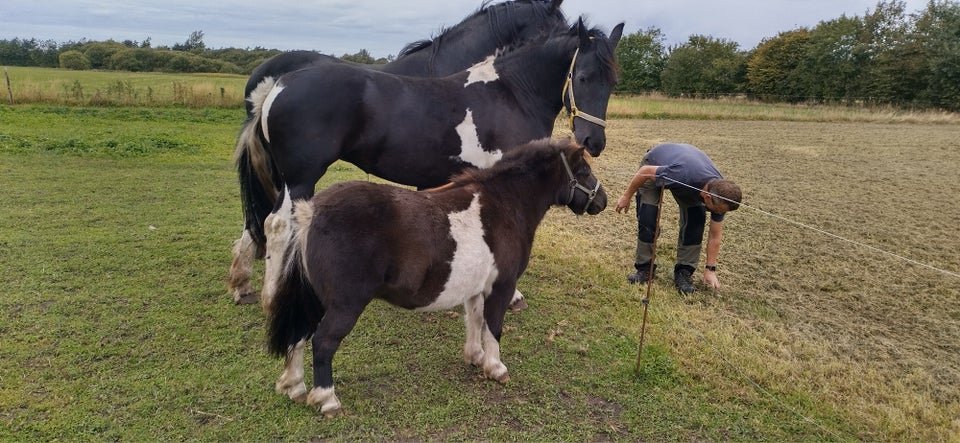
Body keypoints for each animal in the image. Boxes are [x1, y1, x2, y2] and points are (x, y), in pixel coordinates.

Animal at [236, 20, 620, 314]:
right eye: (583, 76)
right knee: (277, 226)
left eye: (613, 82)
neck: (510, 94)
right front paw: (511, 295)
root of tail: (279, 84)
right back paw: (272, 297)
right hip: (300, 178)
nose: (593, 142)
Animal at [266, 138, 604, 416]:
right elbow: (494, 327)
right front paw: (495, 367)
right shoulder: (502, 287)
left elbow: (475, 321)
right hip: (345, 305)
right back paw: (326, 399)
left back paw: (294, 386)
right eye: (585, 170)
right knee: (322, 342)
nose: (602, 201)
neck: (504, 204)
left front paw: (475, 357)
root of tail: (310, 212)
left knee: (299, 334)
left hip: (315, 298)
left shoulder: (476, 289)